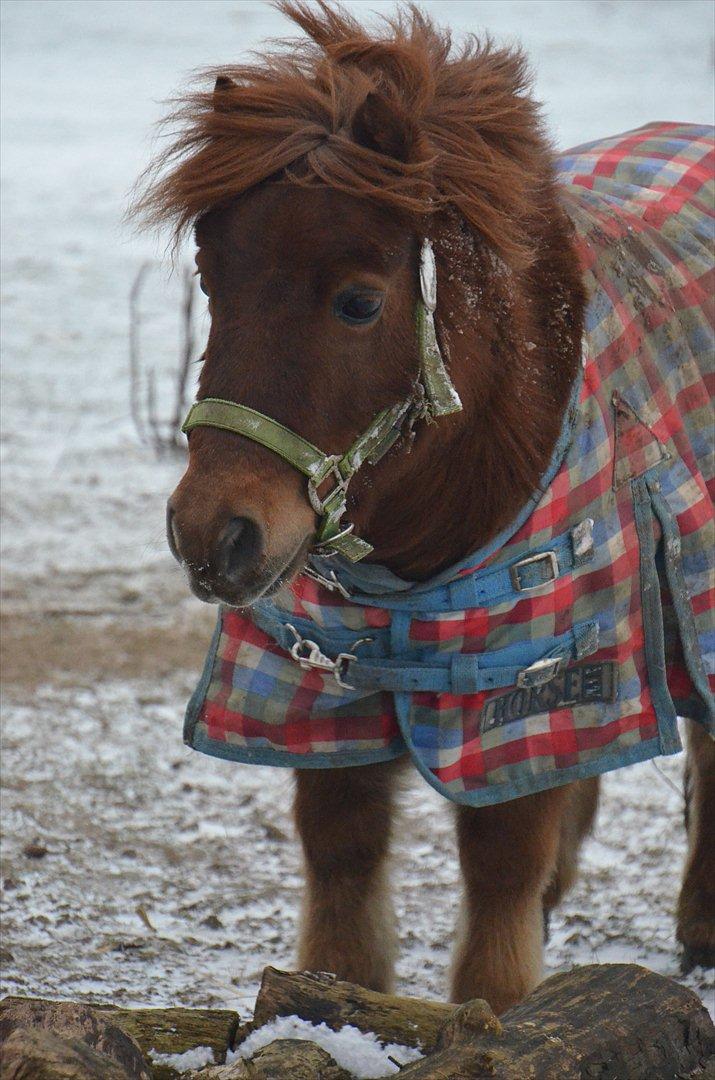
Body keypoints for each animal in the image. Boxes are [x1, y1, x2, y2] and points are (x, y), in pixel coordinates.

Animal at [136, 0, 715, 1010]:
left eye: (359, 303)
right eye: (213, 282)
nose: (214, 533)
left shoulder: (526, 683)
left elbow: (499, 870)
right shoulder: (320, 686)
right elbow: (340, 861)